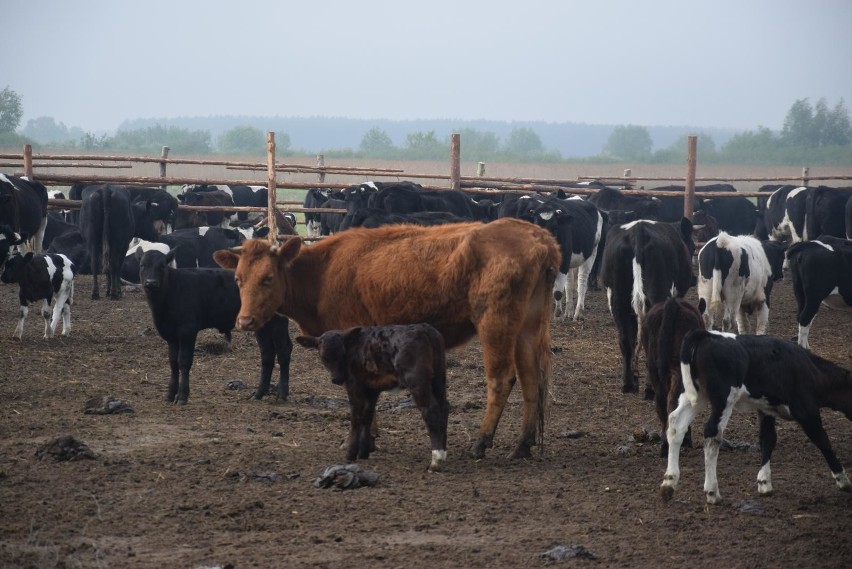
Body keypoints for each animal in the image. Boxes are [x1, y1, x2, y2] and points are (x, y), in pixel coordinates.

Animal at [296, 324, 450, 470]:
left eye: (342, 353)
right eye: (324, 357)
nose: (337, 379)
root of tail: (424, 328)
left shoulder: (355, 386)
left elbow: (356, 418)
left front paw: (351, 453)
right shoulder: (372, 389)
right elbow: (367, 416)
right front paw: (364, 452)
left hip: (416, 380)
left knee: (430, 410)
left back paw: (435, 460)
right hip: (439, 378)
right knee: (444, 406)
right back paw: (443, 453)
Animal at [644, 296, 704, 454]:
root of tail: (673, 303)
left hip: (655, 370)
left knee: (661, 401)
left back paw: (665, 442)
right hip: (678, 370)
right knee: (673, 400)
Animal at [664, 330, 852, 504]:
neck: (810, 371)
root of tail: (706, 334)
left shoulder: (766, 410)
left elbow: (768, 439)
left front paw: (764, 482)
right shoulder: (807, 412)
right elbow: (823, 441)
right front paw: (843, 480)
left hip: (696, 396)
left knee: (675, 425)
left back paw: (669, 482)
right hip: (723, 399)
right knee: (712, 434)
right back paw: (712, 491)